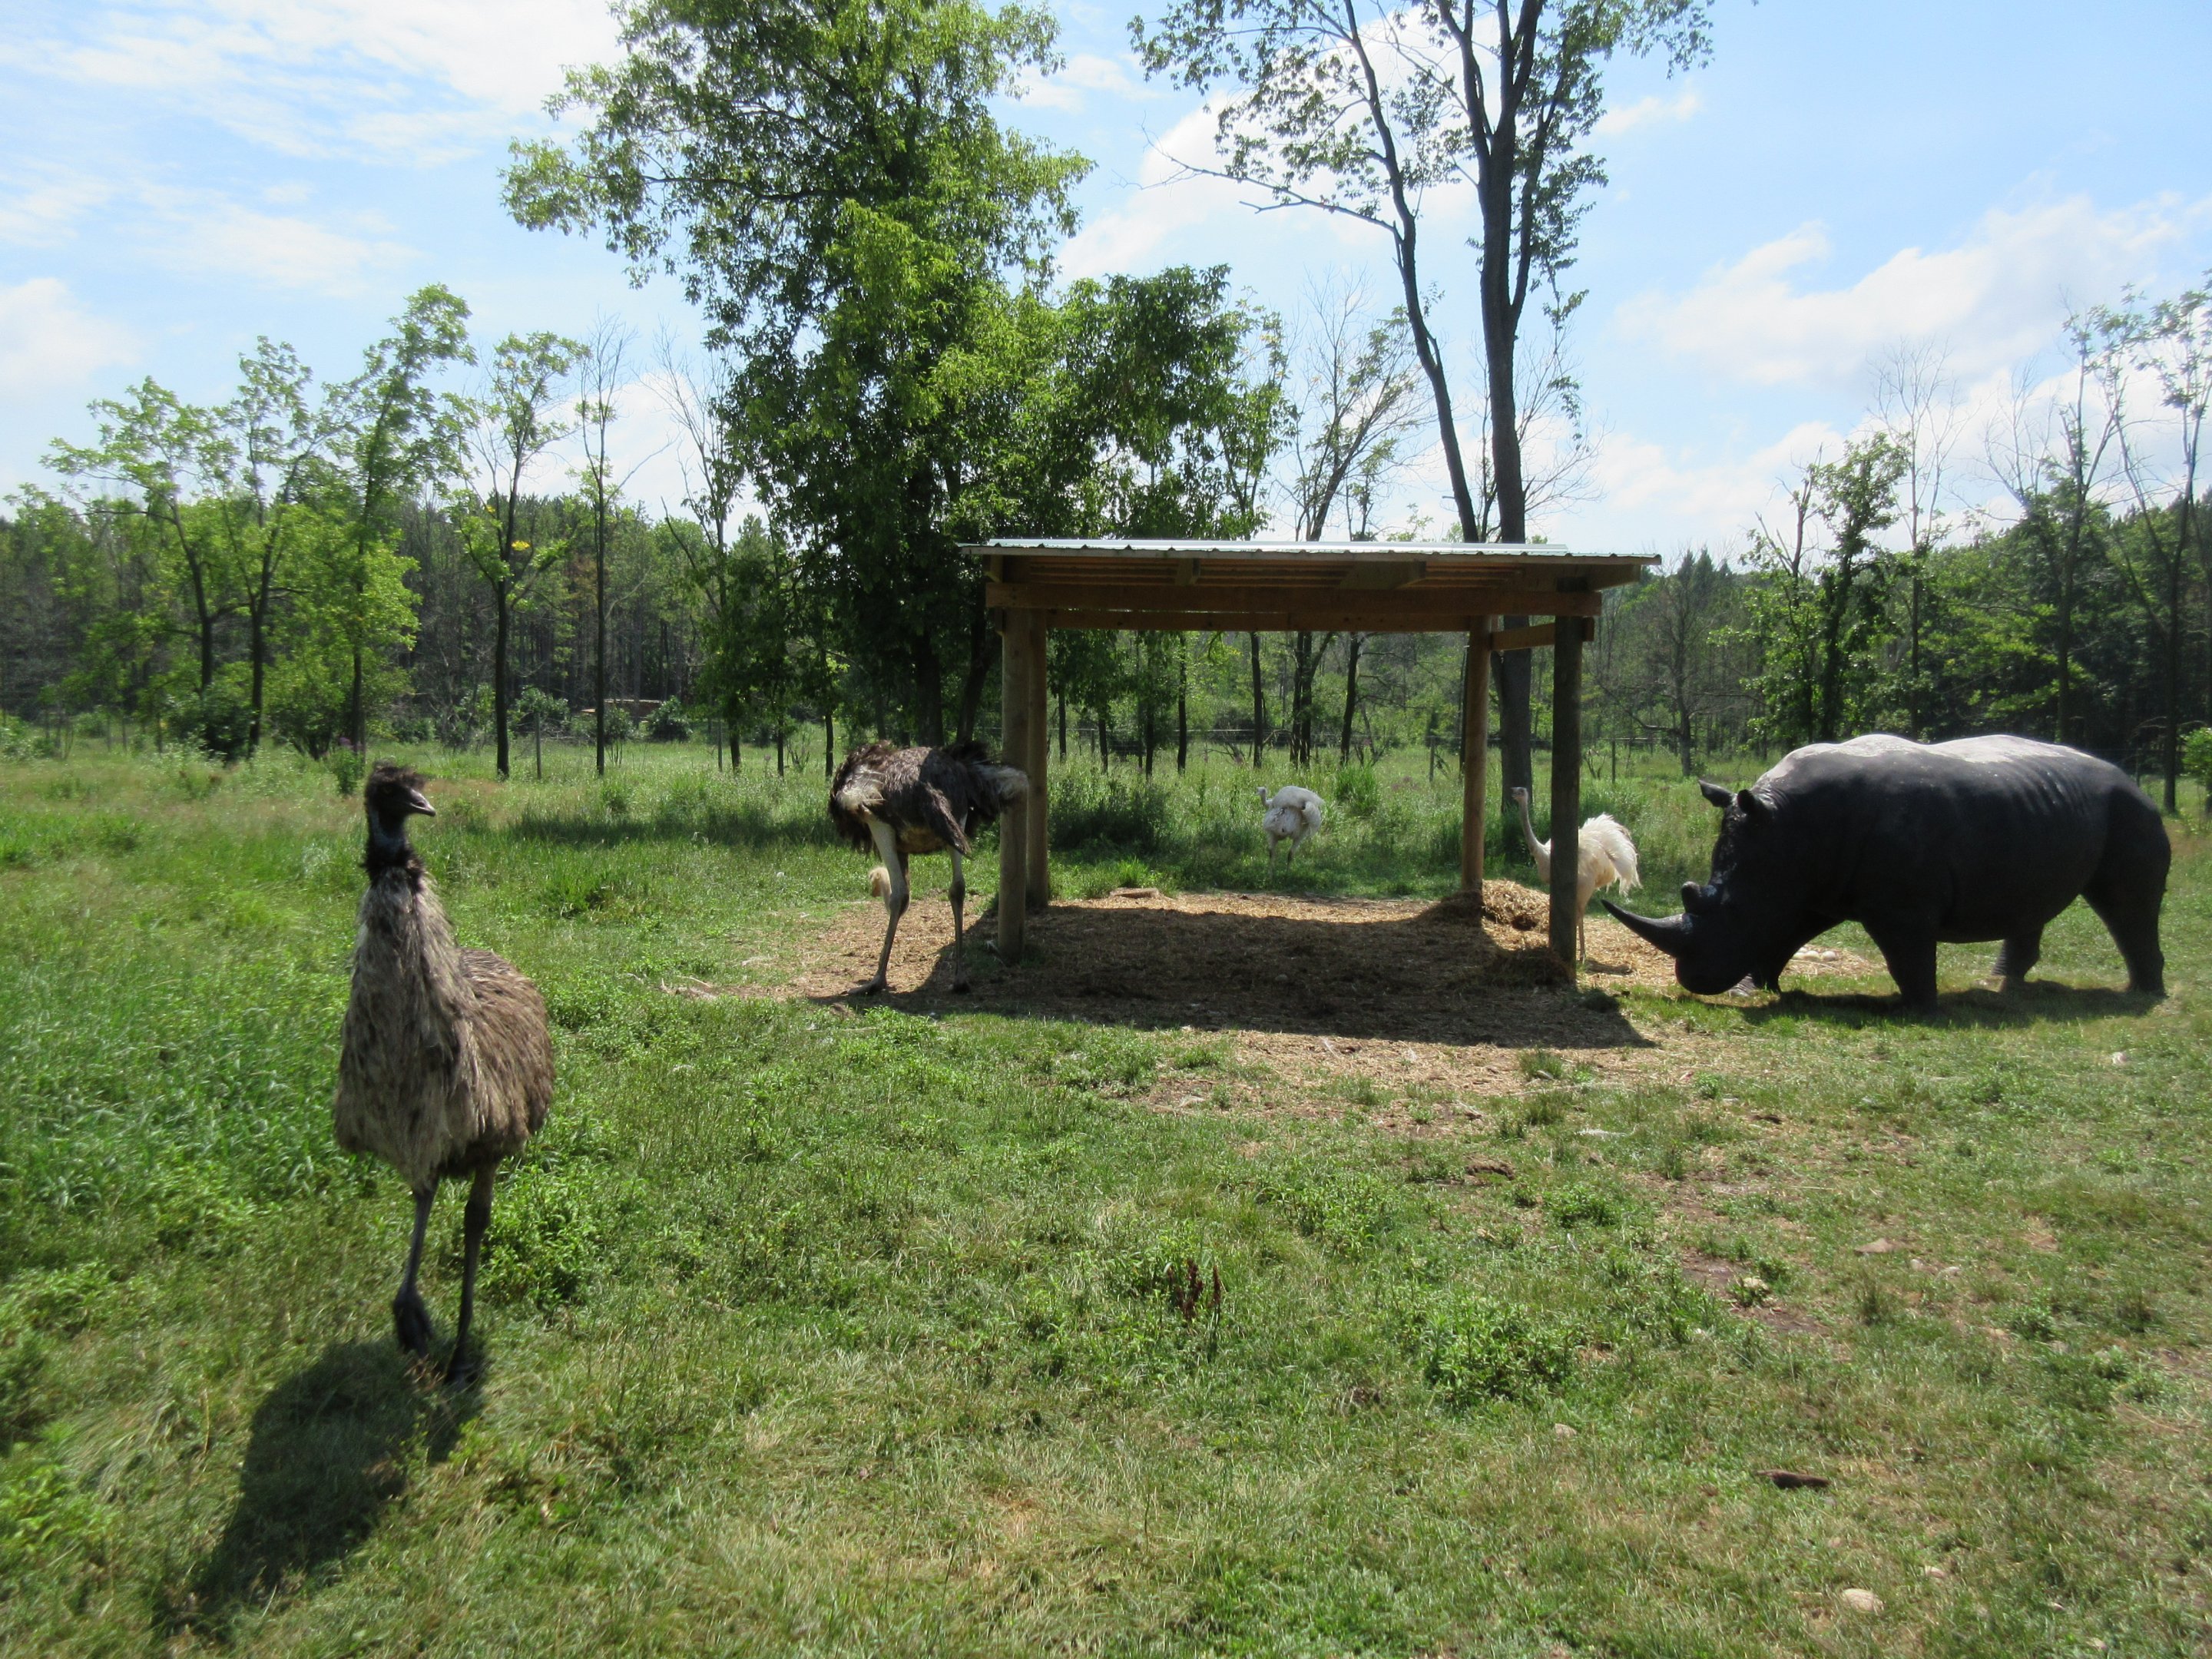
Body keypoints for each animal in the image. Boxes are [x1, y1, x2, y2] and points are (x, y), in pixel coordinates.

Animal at [1604, 734, 2168, 1011]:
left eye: (1734, 910)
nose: (1693, 982)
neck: (1782, 828)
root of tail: (2130, 778)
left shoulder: (1901, 904)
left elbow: (1906, 952)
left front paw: (1917, 1009)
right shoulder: (1809, 887)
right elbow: (1783, 937)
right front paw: (1755, 989)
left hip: (2130, 810)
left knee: (2127, 905)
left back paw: (2143, 996)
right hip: (2045, 812)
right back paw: (2000, 985)